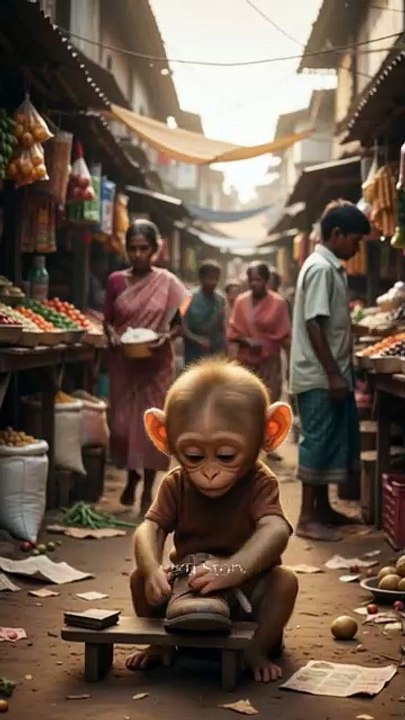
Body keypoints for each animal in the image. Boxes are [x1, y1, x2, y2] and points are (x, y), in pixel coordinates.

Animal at [127, 358, 298, 683]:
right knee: (137, 576)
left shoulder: (266, 484)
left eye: (226, 455)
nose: (209, 473)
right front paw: (157, 581)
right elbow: (152, 526)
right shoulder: (171, 481)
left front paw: (215, 574)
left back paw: (257, 659)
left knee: (284, 583)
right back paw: (153, 651)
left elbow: (273, 528)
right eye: (193, 456)